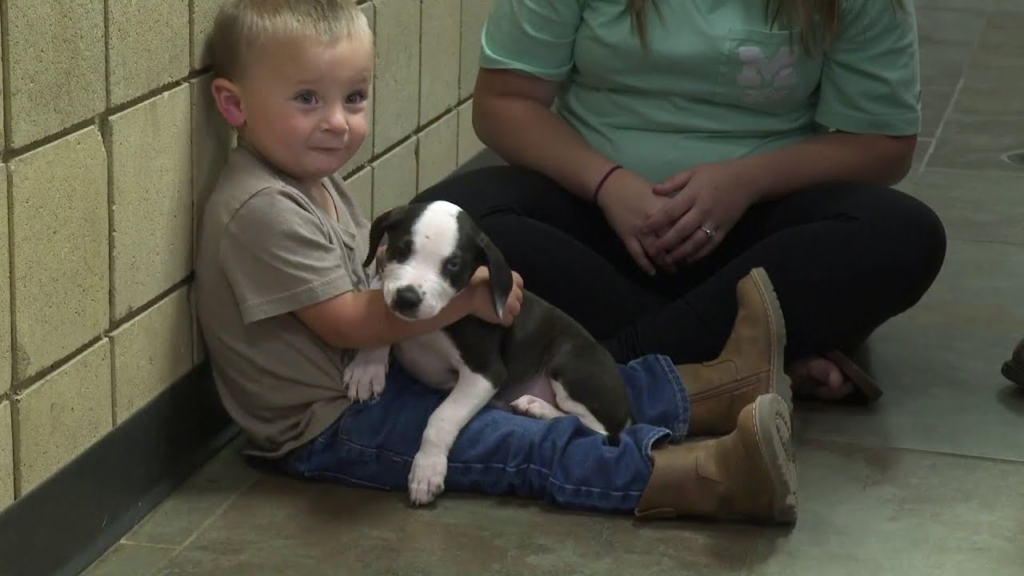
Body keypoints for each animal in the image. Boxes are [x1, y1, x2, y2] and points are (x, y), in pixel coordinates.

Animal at [348, 199, 634, 504]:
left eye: (453, 265)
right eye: (401, 249)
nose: (407, 298)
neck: (428, 325)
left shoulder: (485, 374)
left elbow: (442, 417)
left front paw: (427, 469)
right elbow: (379, 314)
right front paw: (366, 369)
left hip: (570, 363)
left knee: (597, 432)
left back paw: (539, 407)